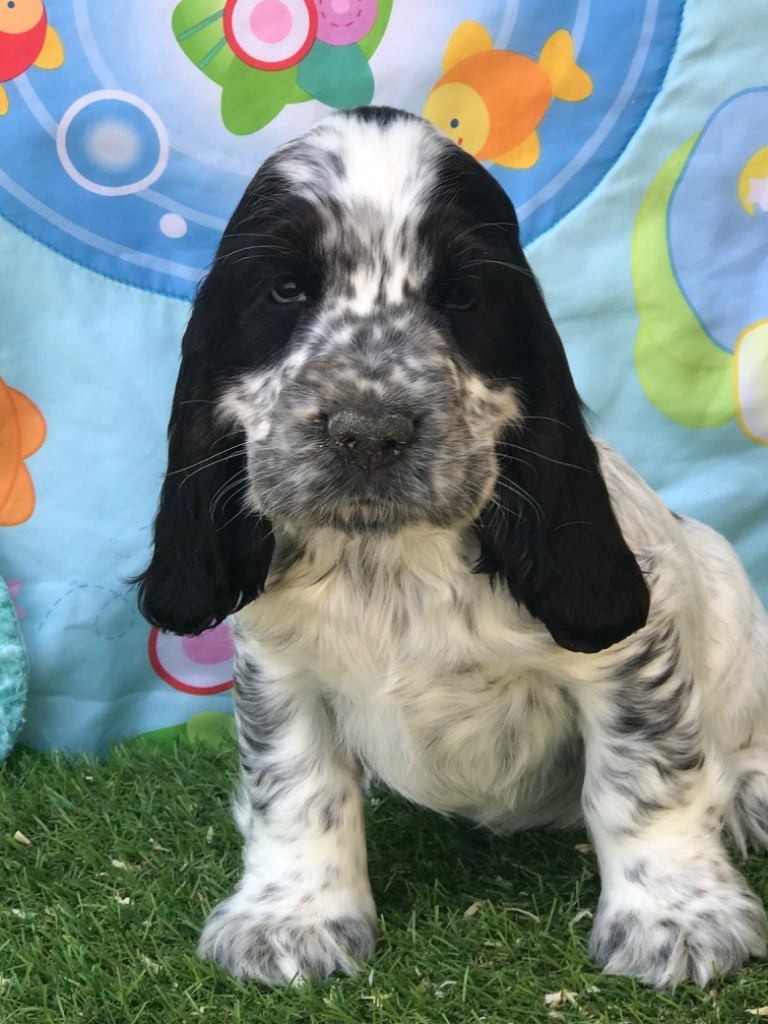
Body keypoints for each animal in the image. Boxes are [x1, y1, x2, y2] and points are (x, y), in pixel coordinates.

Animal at [135, 106, 768, 989]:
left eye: (463, 296)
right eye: (286, 289)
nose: (369, 432)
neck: (391, 559)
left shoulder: (632, 653)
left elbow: (642, 783)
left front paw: (674, 918)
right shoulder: (278, 665)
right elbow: (294, 785)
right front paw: (291, 919)